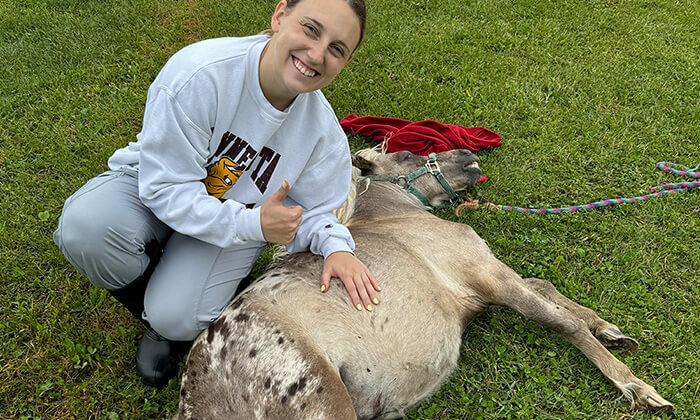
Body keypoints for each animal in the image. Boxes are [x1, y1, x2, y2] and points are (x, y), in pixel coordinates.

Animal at [175, 149, 672, 418]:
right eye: (409, 155)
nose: (469, 157)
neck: (394, 217)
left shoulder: (486, 286)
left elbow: (546, 288)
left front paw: (605, 326)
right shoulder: (488, 276)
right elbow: (557, 320)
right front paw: (635, 386)